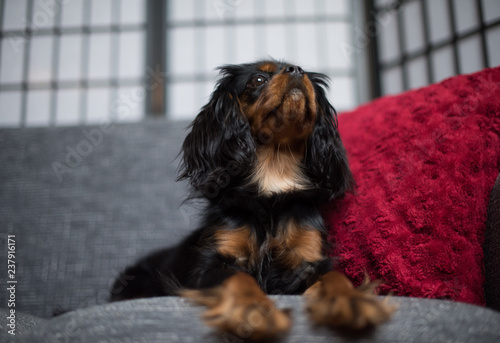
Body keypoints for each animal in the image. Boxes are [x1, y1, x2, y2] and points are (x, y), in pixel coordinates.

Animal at [110, 59, 394, 342]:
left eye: (309, 81)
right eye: (258, 80)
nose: (296, 71)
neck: (273, 174)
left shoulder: (309, 261)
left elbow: (335, 276)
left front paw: (352, 300)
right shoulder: (210, 266)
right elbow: (238, 279)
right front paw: (254, 311)